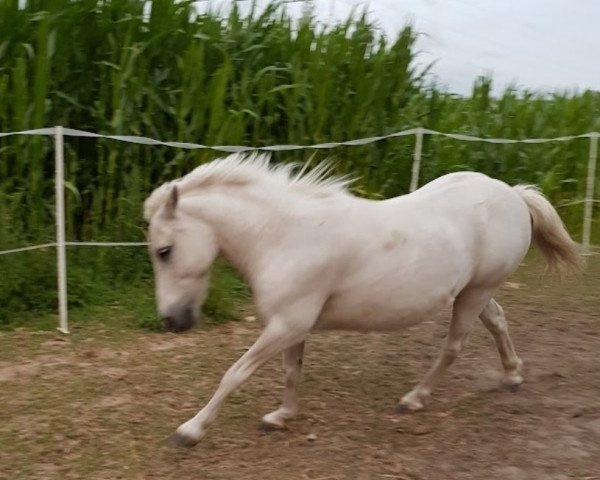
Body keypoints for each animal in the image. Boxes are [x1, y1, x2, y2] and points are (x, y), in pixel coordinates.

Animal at [143, 153, 580, 446]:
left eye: (164, 251)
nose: (172, 321)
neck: (283, 235)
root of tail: (513, 195)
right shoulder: (291, 326)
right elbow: (290, 372)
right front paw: (281, 417)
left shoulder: (287, 324)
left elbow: (235, 373)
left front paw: (190, 430)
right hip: (475, 291)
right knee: (498, 322)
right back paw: (512, 375)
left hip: (473, 295)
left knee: (454, 346)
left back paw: (413, 400)